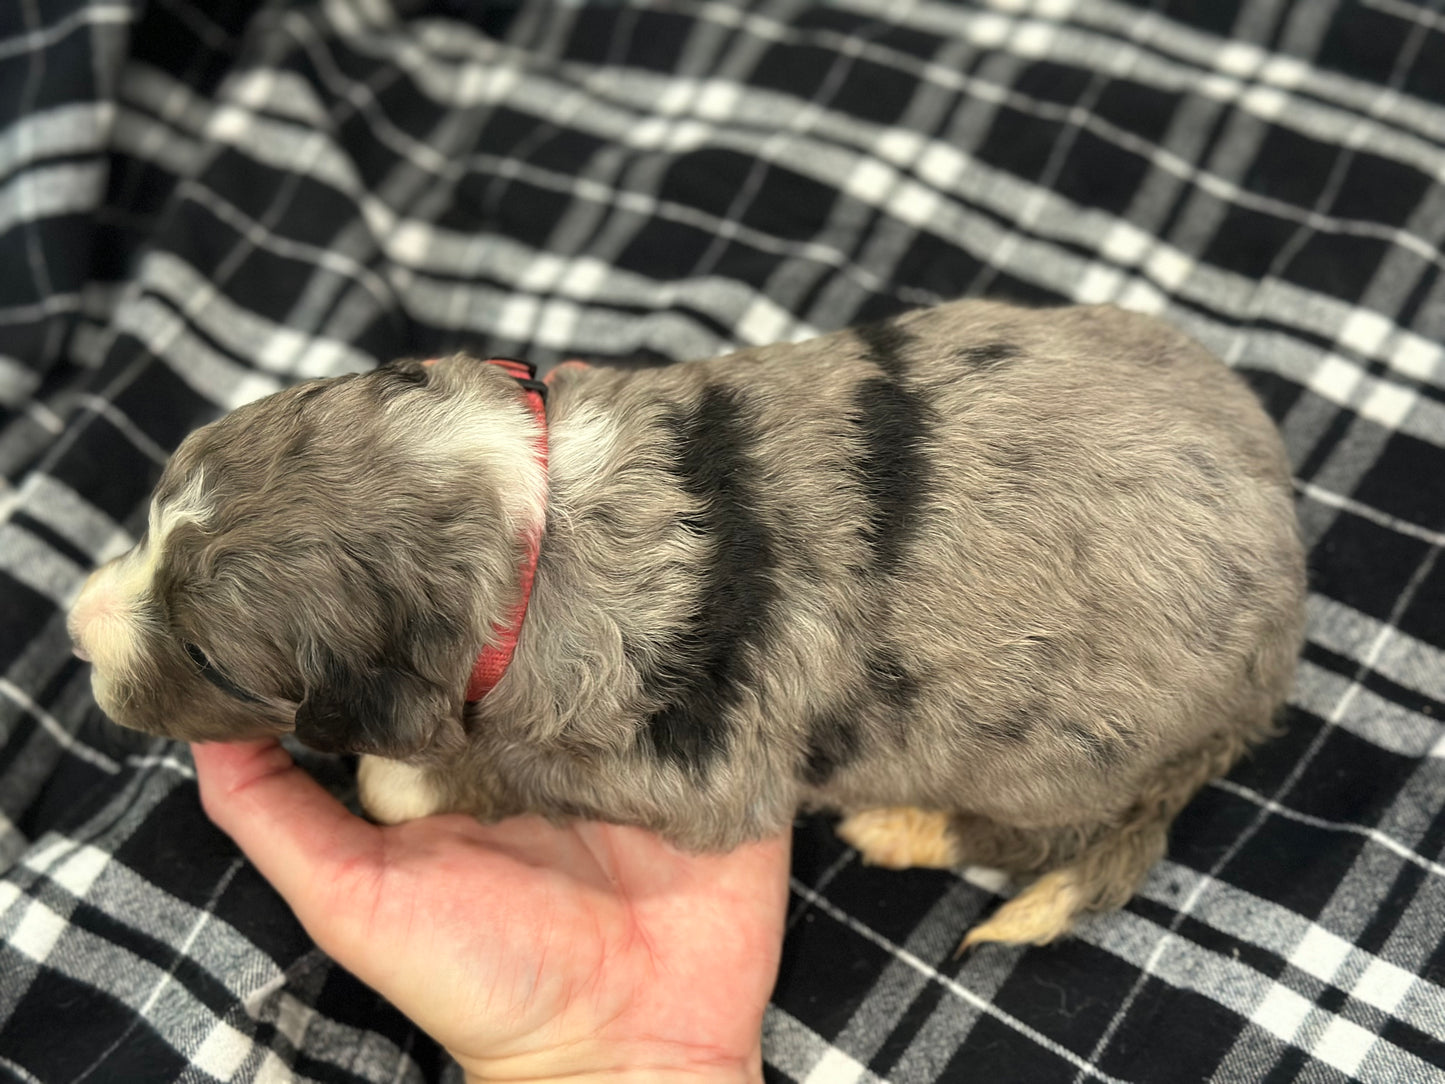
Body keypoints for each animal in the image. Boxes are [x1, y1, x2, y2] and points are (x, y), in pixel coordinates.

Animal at [70, 299, 1312, 948]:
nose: (77, 627)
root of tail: (1283, 638)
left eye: (205, 655)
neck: (531, 527)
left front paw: (405, 777)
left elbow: (477, 770)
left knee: (1042, 839)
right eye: (154, 511)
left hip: (1057, 759)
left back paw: (899, 826)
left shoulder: (689, 778)